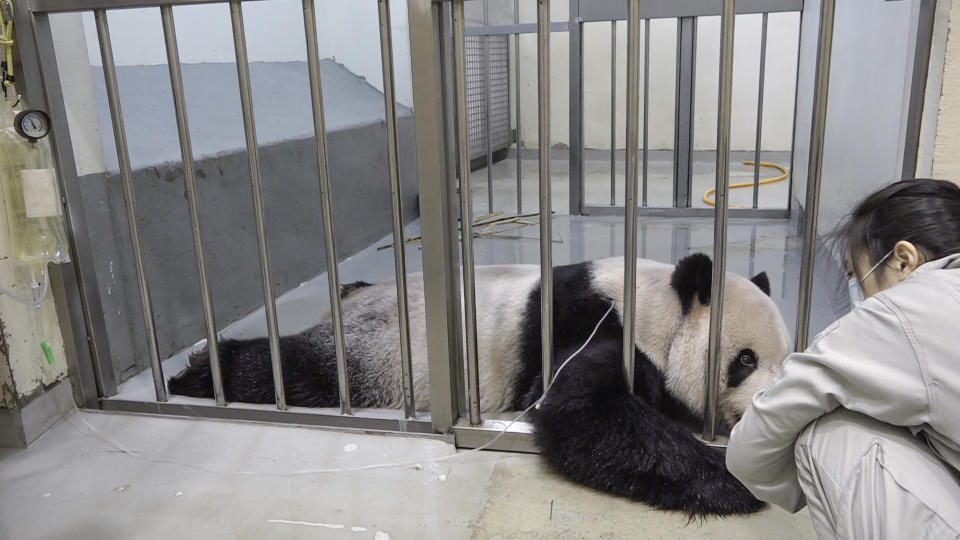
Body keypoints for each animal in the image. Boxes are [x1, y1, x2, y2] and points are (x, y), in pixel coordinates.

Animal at [171, 253, 788, 516]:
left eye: (787, 360)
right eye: (744, 360)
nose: (764, 408)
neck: (656, 302)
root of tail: (339, 306)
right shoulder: (597, 323)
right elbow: (579, 411)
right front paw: (733, 480)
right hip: (381, 350)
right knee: (307, 369)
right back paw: (202, 370)